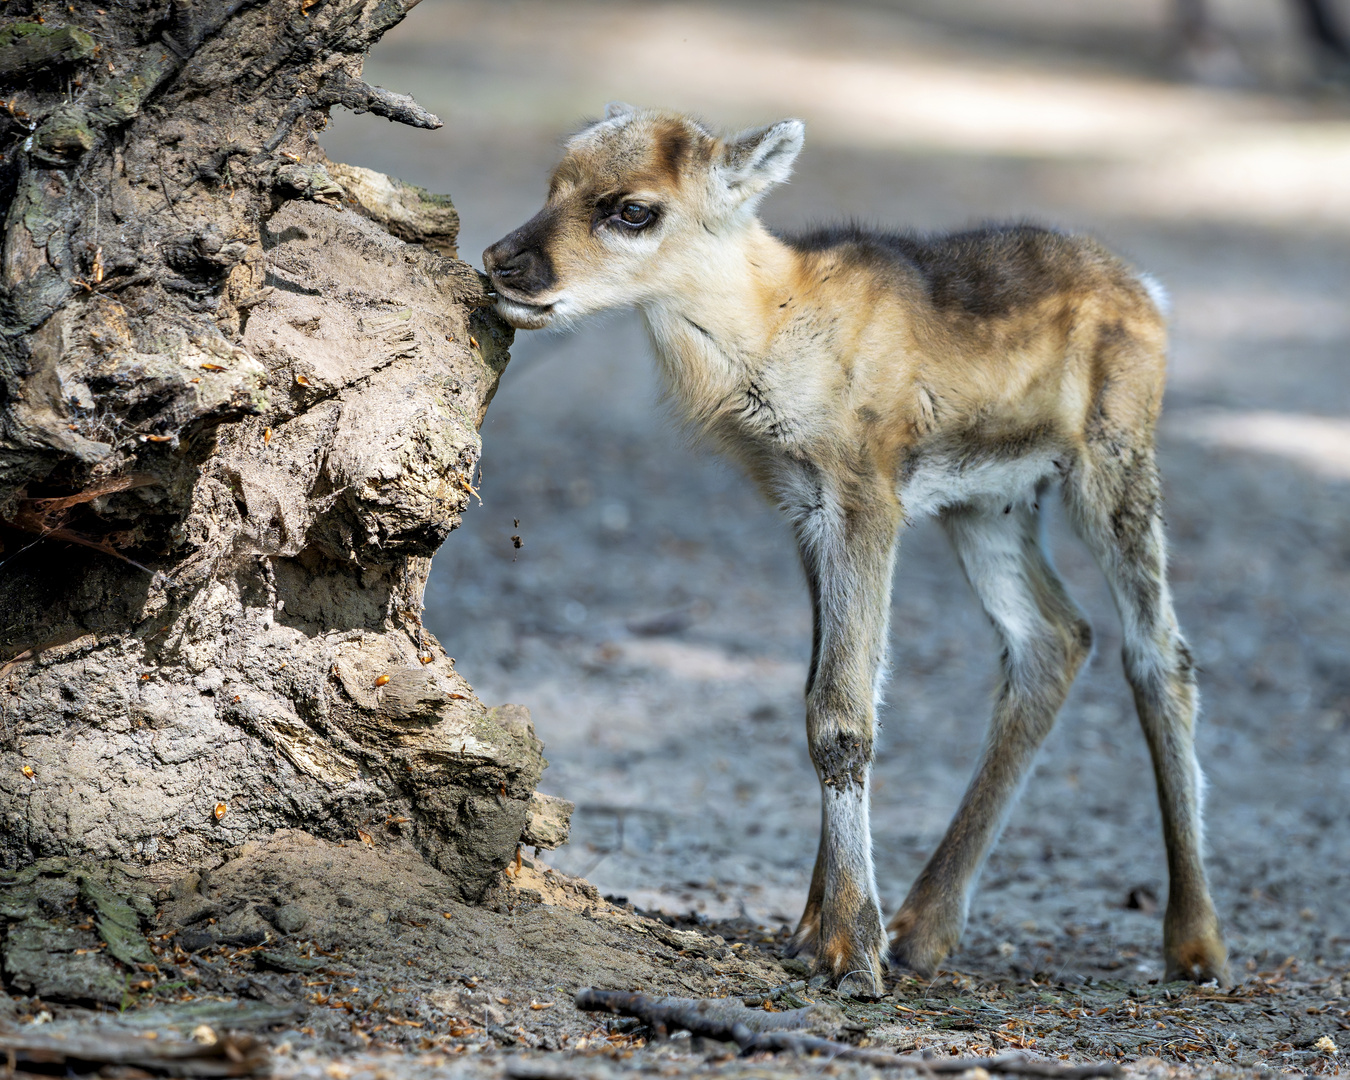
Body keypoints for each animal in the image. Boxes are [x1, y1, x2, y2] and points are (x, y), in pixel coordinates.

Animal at [486, 105, 1236, 993]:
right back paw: (924, 929)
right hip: (990, 503)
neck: (773, 330)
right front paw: (813, 930)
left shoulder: (867, 494)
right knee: (1056, 636)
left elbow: (843, 714)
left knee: (1161, 653)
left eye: (633, 210)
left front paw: (849, 949)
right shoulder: (805, 509)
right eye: (553, 183)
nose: (502, 263)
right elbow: (827, 688)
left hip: (1113, 458)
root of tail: (1150, 293)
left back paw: (1195, 943)